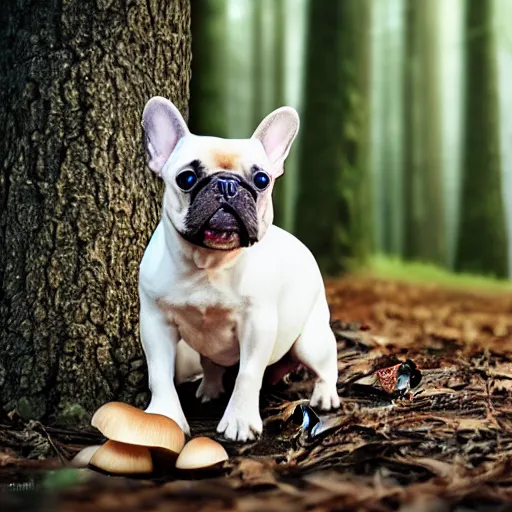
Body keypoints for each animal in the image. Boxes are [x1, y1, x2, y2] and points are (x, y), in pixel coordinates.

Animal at [140, 97, 340, 440]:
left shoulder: (257, 325)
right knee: (211, 364)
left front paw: (239, 422)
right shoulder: (155, 322)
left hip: (310, 340)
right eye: (186, 178)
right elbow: (160, 374)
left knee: (326, 363)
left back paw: (325, 395)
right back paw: (209, 389)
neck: (208, 264)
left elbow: (248, 374)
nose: (227, 184)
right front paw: (165, 415)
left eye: (261, 180)